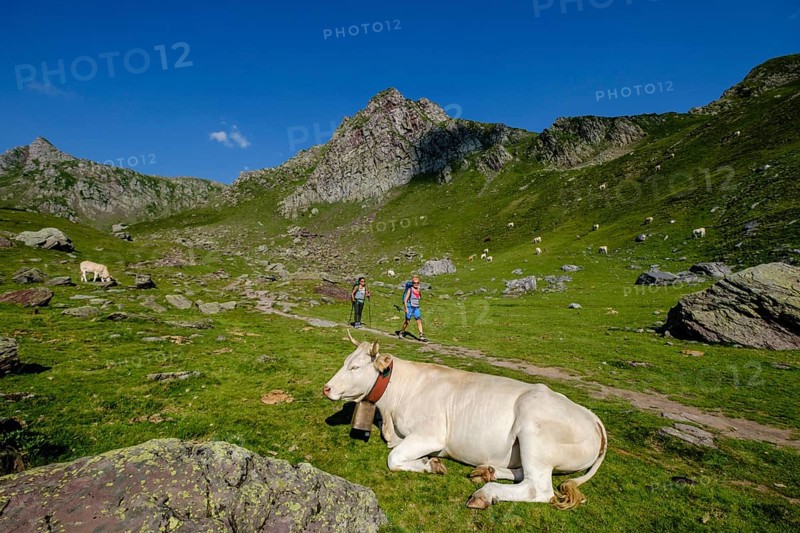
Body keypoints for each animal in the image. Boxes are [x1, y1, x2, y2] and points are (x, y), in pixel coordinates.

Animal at [323, 333, 607, 510]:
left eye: (355, 368)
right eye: (345, 362)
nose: (326, 388)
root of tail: (592, 416)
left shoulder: (430, 435)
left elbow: (393, 459)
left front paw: (430, 464)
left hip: (534, 431)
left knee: (537, 488)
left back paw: (486, 493)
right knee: (522, 473)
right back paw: (486, 471)